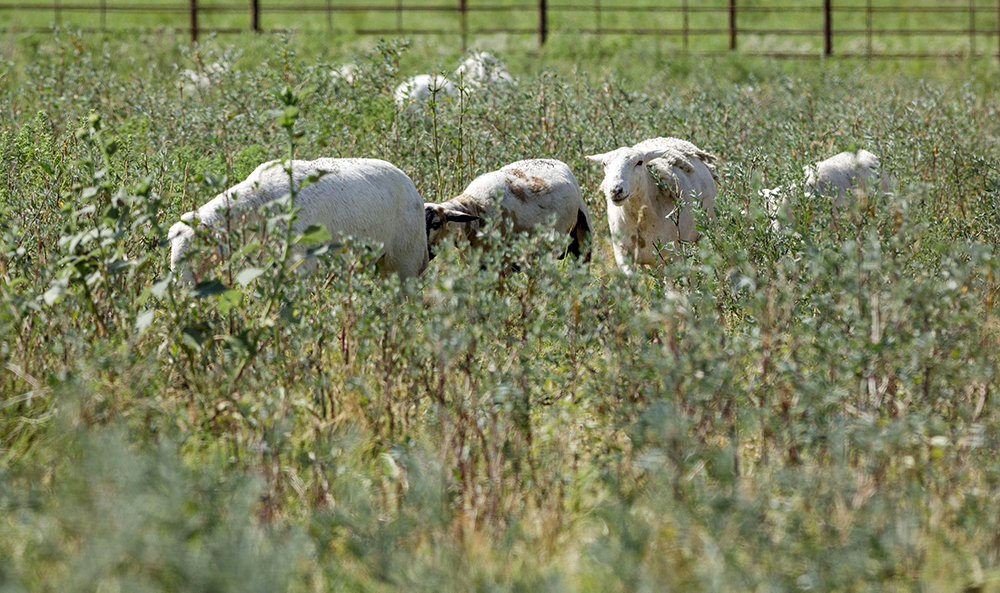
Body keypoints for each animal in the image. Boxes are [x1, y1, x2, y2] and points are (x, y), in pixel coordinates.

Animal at [585, 137, 718, 273]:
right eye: (604, 164)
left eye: (639, 162)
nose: (615, 190)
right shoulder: (622, 253)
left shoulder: (673, 253)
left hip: (707, 228)